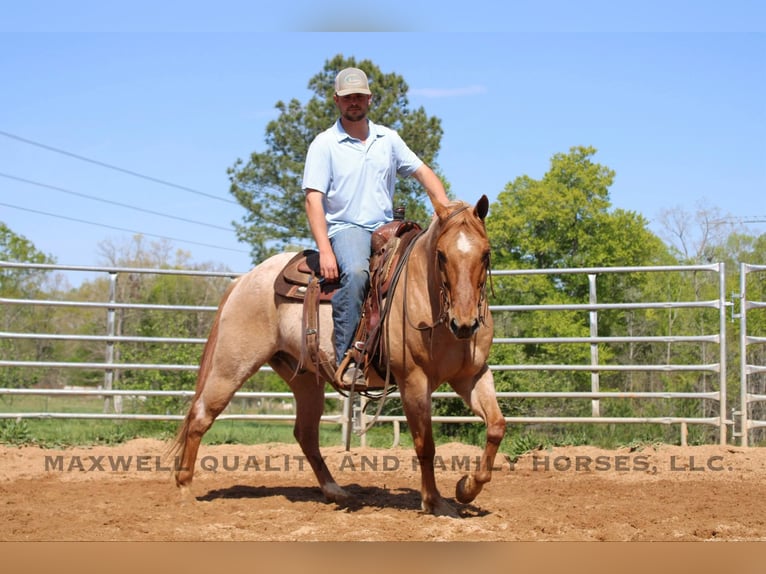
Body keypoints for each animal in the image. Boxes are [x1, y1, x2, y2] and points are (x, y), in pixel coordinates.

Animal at [170, 195, 506, 517]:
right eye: (441, 255)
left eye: (485, 253)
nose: (464, 324)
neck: (426, 295)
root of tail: (244, 280)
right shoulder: (413, 381)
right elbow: (426, 445)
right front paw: (435, 503)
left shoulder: (471, 376)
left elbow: (496, 426)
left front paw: (466, 488)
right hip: (232, 365)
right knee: (200, 415)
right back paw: (184, 489)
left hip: (305, 378)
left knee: (305, 433)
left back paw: (335, 491)